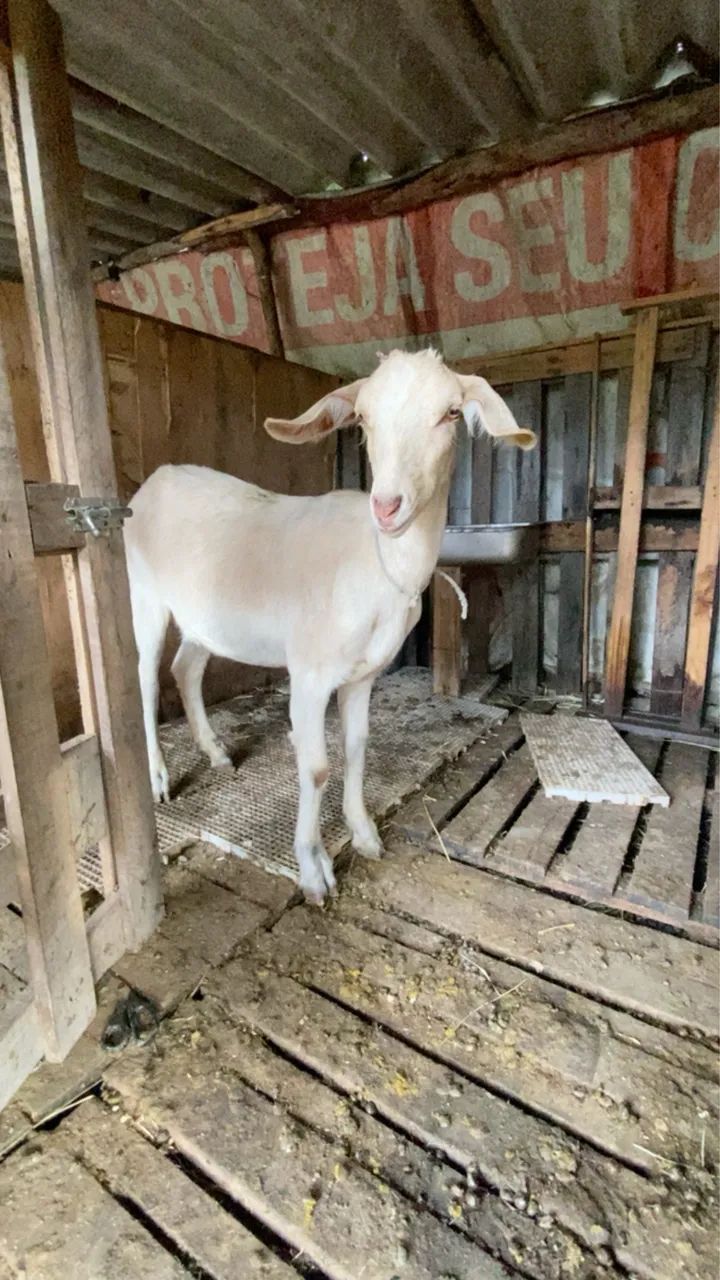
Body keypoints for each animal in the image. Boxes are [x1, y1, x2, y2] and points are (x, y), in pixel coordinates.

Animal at [125, 349, 536, 903]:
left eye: (451, 413)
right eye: (362, 417)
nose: (387, 506)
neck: (376, 563)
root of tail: (157, 479)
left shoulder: (362, 676)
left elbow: (357, 748)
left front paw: (363, 834)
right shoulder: (309, 673)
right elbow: (316, 767)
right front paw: (312, 869)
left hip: (203, 616)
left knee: (185, 668)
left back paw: (216, 753)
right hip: (143, 593)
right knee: (146, 678)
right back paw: (159, 778)